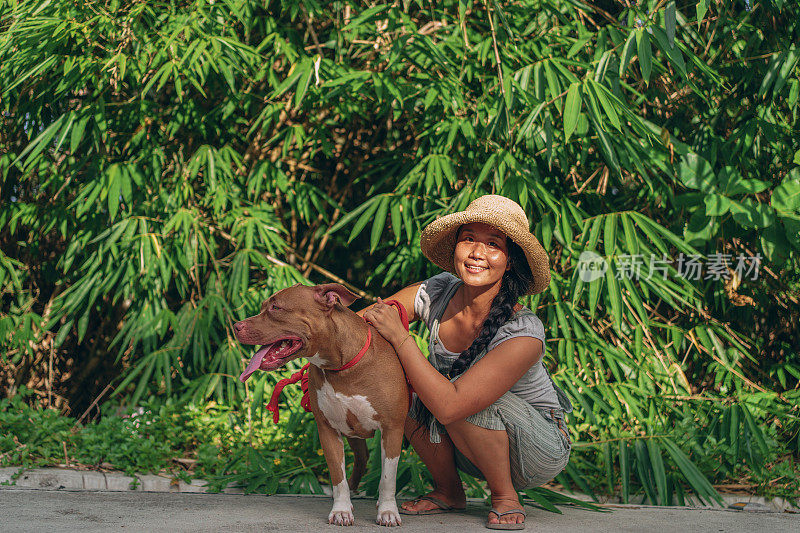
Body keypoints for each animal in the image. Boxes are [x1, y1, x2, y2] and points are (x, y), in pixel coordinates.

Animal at [231, 282, 406, 524]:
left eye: (276, 307)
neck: (342, 366)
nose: (236, 326)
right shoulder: (328, 428)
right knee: (361, 457)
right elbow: (337, 475)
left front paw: (388, 511)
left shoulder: (393, 427)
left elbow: (388, 476)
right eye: (264, 306)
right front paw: (341, 510)